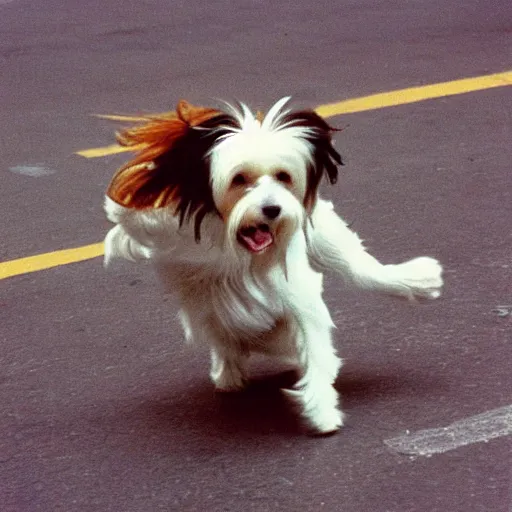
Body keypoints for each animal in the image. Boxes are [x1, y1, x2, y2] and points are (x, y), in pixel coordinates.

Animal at [104, 98, 444, 434]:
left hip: (330, 243)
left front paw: (321, 408)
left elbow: (312, 340)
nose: (272, 209)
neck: (240, 252)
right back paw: (230, 372)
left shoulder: (296, 294)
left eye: (283, 176)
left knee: (362, 270)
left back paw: (417, 281)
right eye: (239, 179)